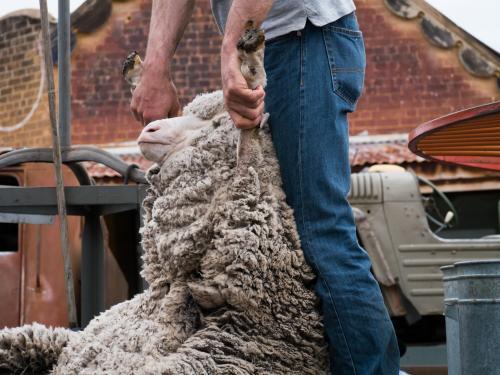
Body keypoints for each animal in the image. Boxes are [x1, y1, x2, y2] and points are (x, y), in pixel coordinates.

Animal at [0, 22, 330, 374]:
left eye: (214, 122)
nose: (150, 130)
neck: (171, 285)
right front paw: (140, 74)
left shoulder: (249, 267)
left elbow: (248, 157)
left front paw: (250, 69)